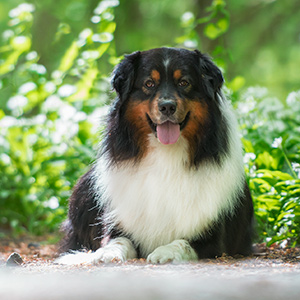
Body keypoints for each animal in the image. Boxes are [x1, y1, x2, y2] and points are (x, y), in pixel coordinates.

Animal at [56, 47, 253, 264]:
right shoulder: (119, 225)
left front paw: (165, 252)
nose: (167, 106)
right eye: (149, 84)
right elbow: (118, 241)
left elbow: (183, 242)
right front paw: (108, 253)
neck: (165, 155)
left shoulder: (213, 239)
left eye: (184, 83)